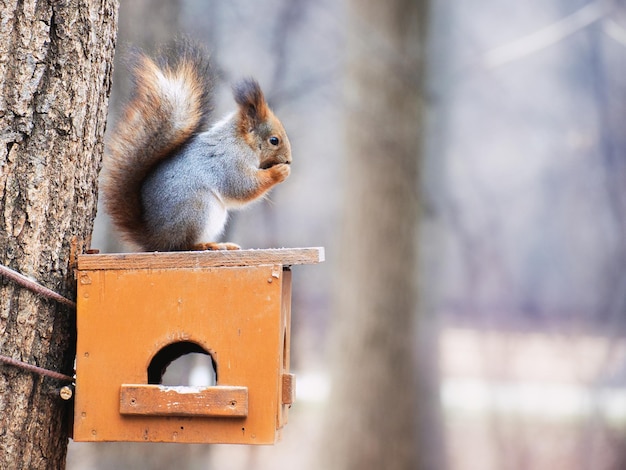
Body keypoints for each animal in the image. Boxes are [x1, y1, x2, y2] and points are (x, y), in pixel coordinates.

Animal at [101, 41, 292, 252]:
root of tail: (156, 240)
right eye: (274, 140)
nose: (289, 160)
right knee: (183, 245)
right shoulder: (230, 161)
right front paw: (279, 172)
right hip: (197, 210)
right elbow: (242, 187)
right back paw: (207, 245)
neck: (241, 141)